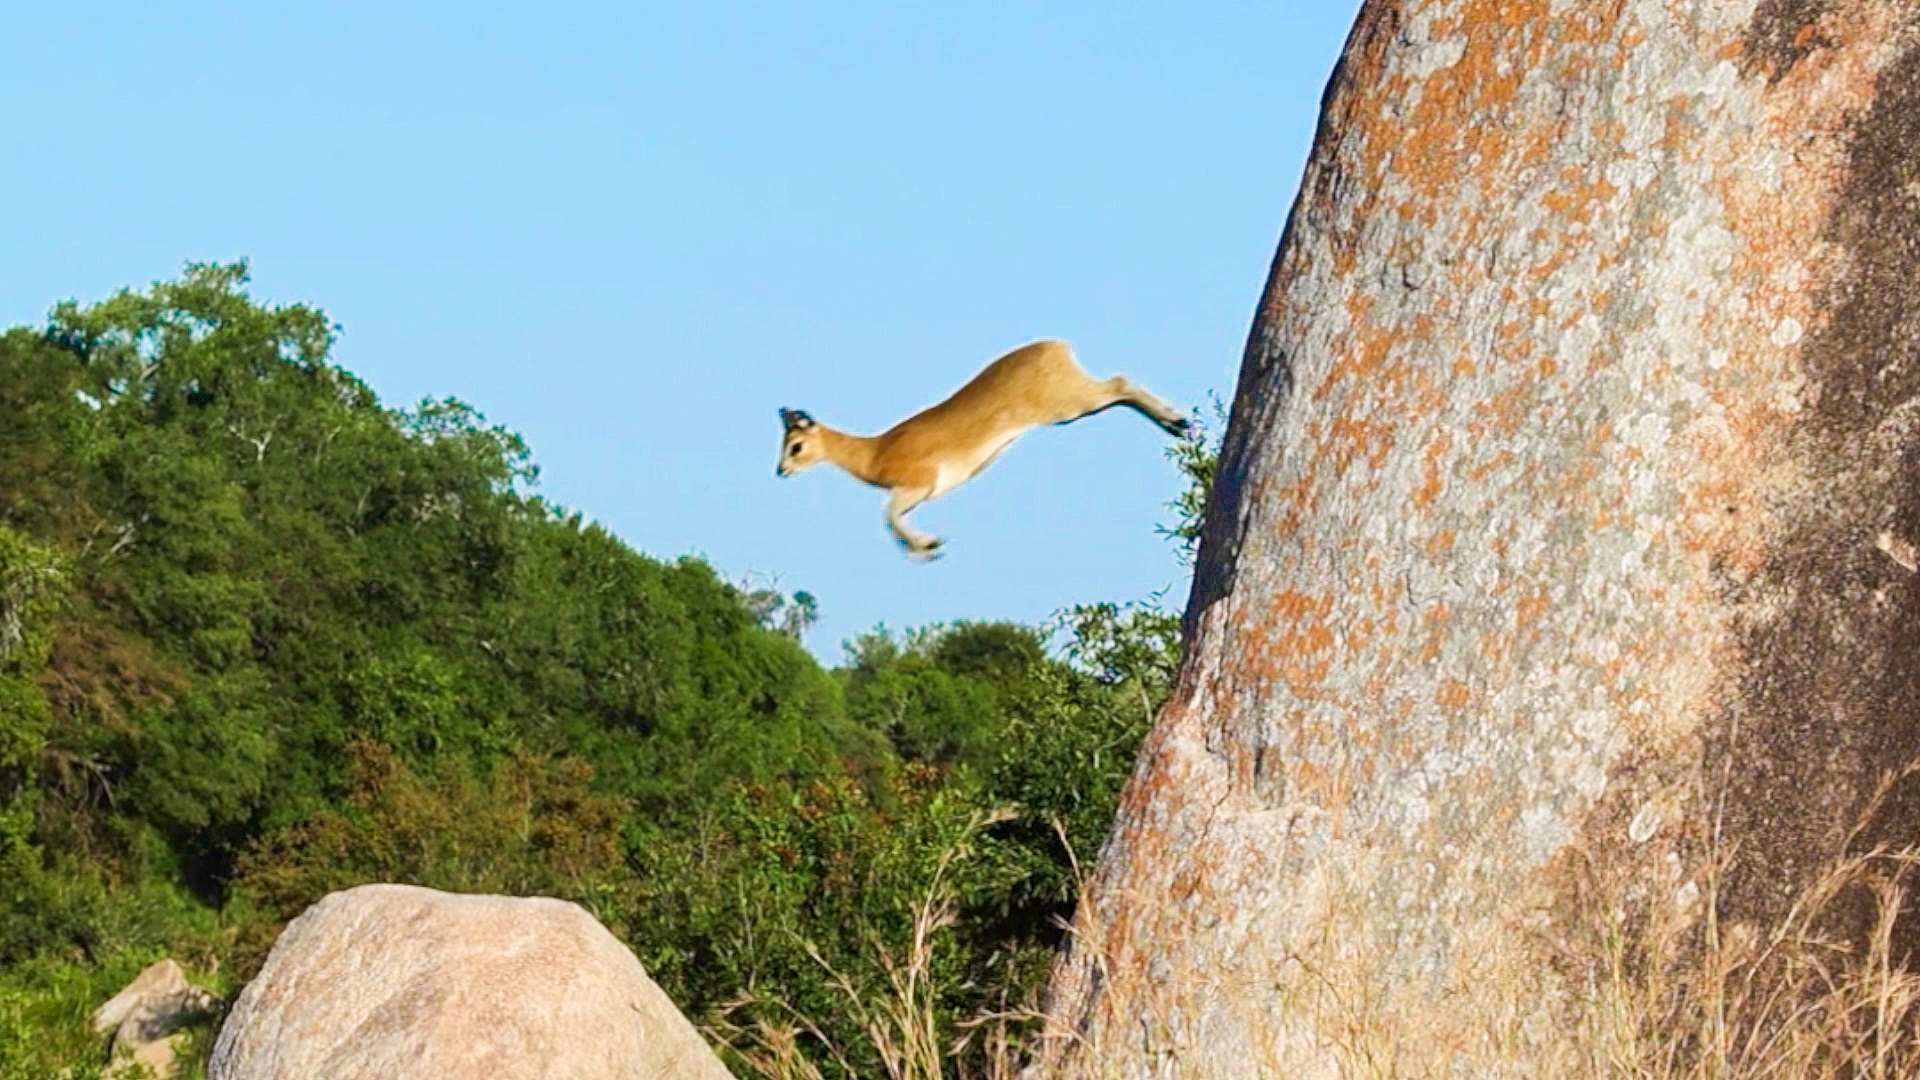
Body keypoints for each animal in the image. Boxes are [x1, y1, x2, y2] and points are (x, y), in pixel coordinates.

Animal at [775, 334, 1182, 553]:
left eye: (795, 445)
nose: (780, 470)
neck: (876, 452)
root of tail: (1056, 346)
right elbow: (890, 519)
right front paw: (929, 545)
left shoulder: (920, 483)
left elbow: (887, 516)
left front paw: (928, 547)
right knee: (1121, 391)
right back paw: (1177, 425)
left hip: (1067, 405)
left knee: (1120, 382)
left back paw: (1180, 421)